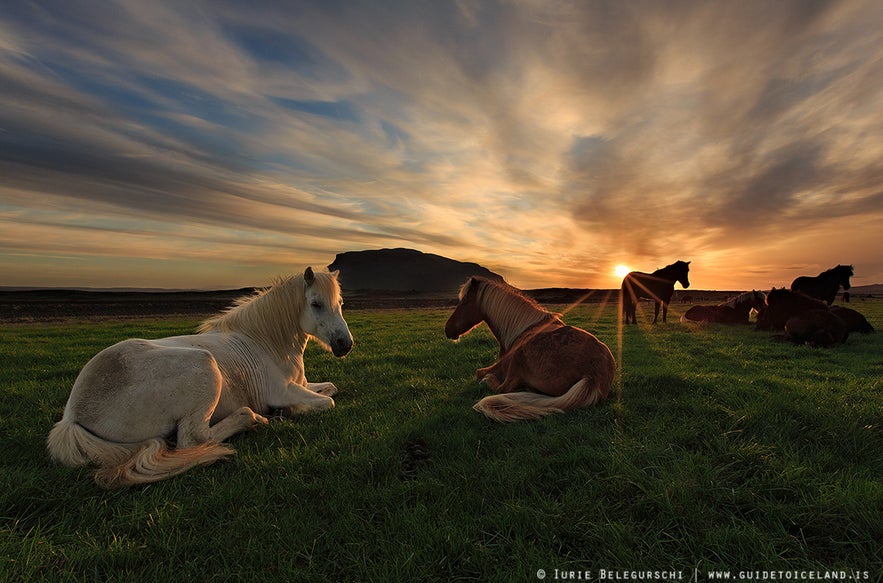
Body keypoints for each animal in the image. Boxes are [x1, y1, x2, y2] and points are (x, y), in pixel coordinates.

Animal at [47, 270, 352, 488]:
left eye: (340, 304)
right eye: (315, 304)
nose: (344, 344)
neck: (265, 342)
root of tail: (72, 414)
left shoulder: (301, 385)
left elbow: (331, 388)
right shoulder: (282, 392)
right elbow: (327, 402)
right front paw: (289, 411)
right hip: (205, 366)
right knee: (195, 439)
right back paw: (255, 419)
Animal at [442, 276, 616, 422]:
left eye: (464, 301)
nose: (447, 329)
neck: (522, 328)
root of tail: (594, 376)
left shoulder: (501, 366)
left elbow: (478, 372)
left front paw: (485, 377)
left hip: (518, 356)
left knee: (505, 387)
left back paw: (489, 380)